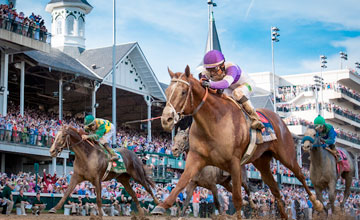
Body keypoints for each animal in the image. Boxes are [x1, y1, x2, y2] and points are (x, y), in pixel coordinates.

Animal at [153, 66, 324, 219]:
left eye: (183, 92)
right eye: (167, 92)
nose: (166, 119)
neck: (213, 122)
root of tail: (279, 119)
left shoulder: (233, 163)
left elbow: (236, 199)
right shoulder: (196, 160)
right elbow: (181, 184)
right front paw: (161, 207)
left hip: (286, 155)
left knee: (300, 175)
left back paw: (317, 204)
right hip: (262, 163)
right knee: (275, 190)